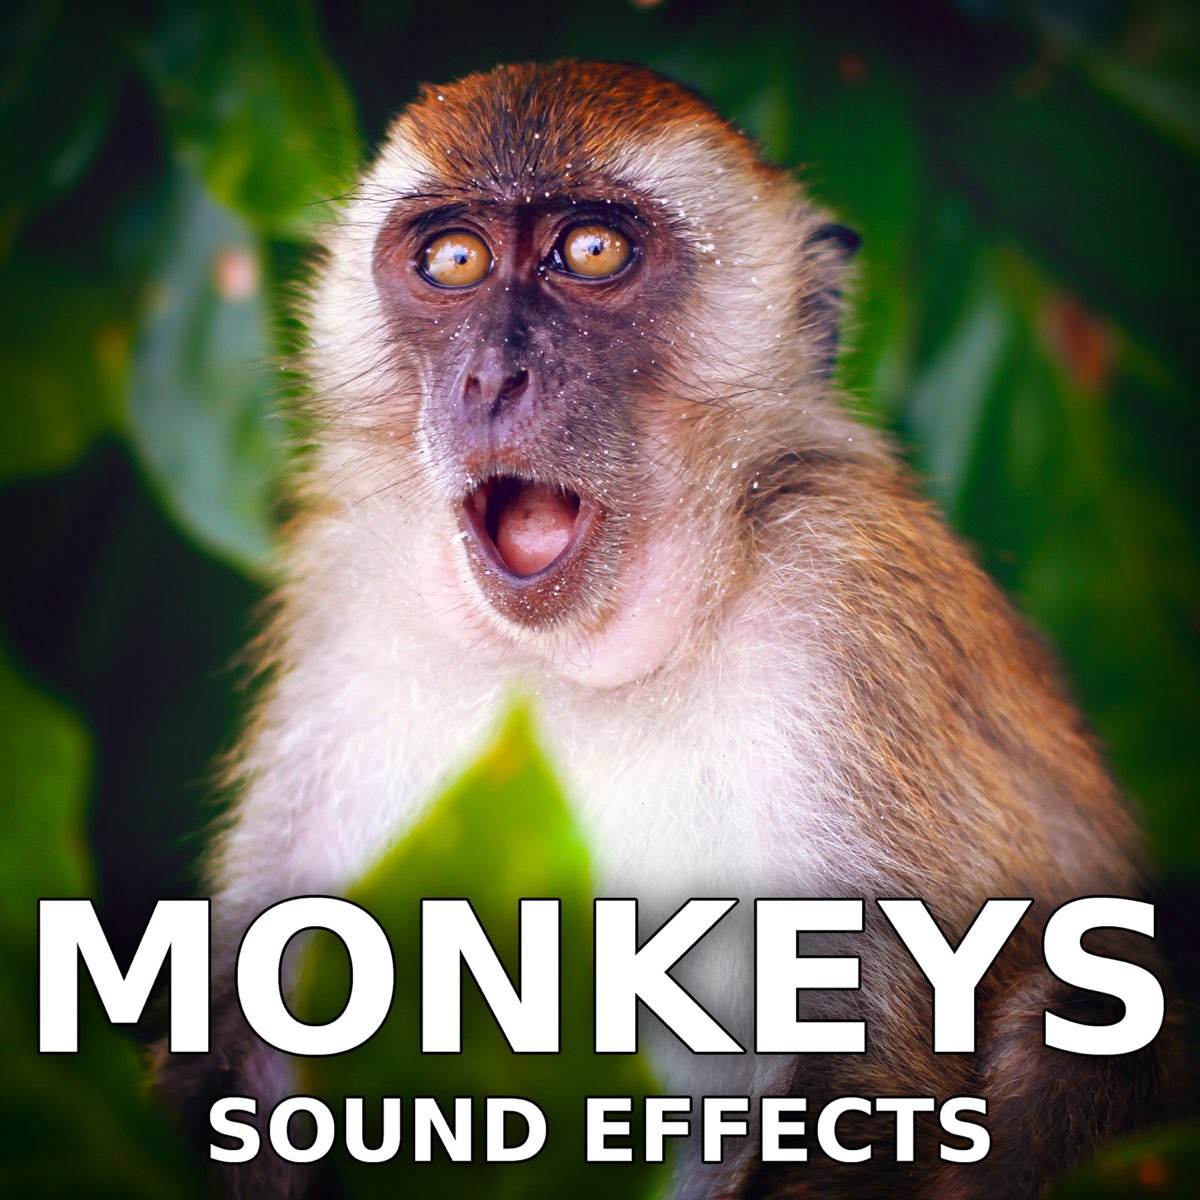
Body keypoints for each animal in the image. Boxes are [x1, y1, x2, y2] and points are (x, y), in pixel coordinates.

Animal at [155, 60, 1182, 1199]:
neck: (575, 664)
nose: (491, 379)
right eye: (455, 258)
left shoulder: (842, 602)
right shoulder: (349, 601)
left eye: (592, 252)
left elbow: (865, 1082)